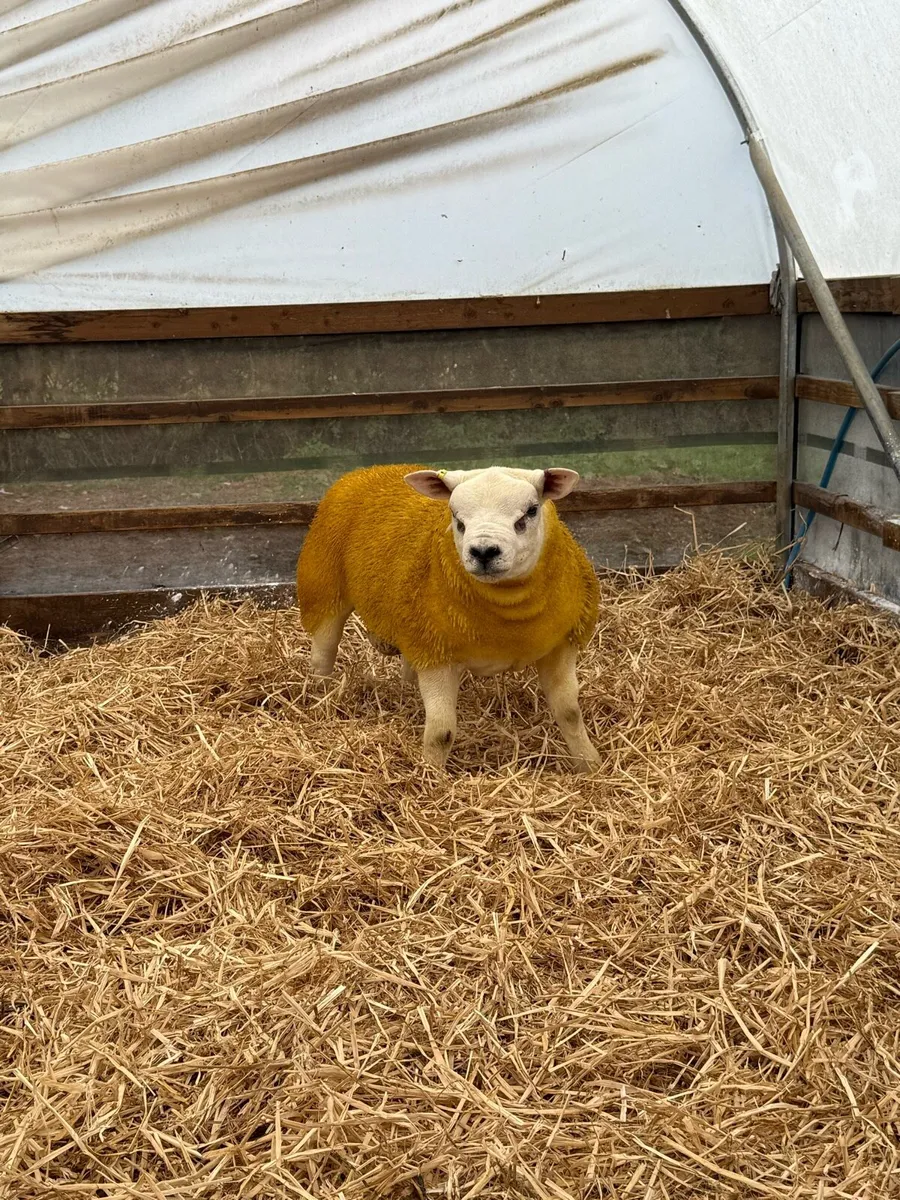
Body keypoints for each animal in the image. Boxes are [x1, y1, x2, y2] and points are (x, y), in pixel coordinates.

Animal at [296, 463, 600, 771]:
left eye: (531, 510)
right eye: (456, 516)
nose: (484, 551)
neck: (509, 615)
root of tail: (370, 470)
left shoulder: (561, 644)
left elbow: (570, 713)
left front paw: (590, 764)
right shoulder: (438, 656)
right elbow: (441, 732)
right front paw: (431, 775)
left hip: (412, 616)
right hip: (324, 584)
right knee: (324, 649)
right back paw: (320, 695)